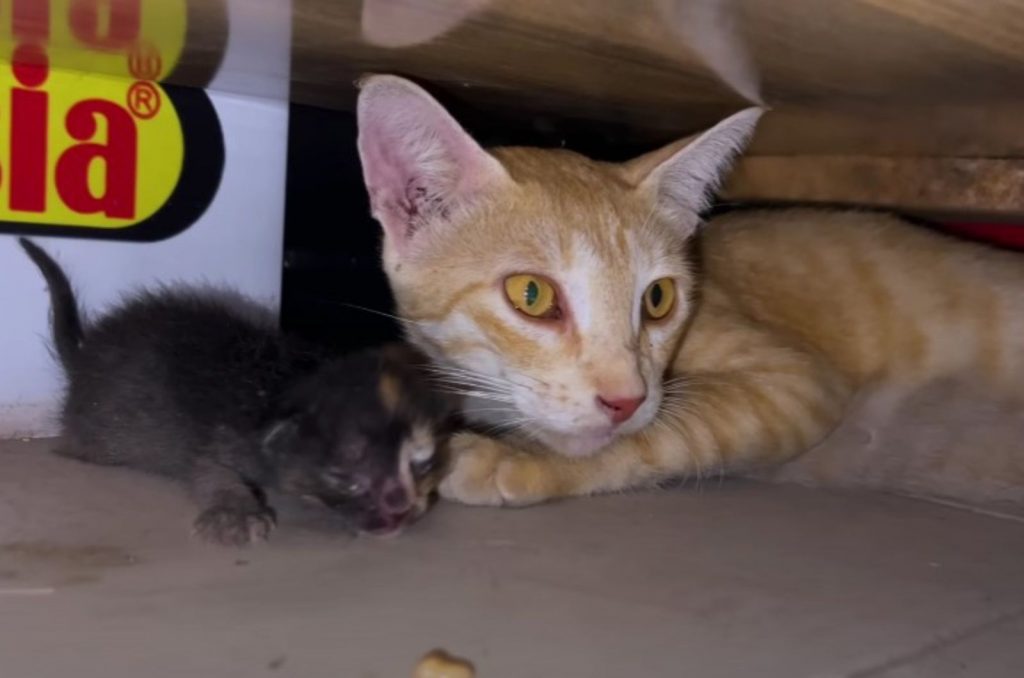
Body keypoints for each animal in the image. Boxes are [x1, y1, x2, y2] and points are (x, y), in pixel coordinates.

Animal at [18, 238, 452, 548]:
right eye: (343, 477)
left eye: (422, 462)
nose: (402, 506)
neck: (283, 380)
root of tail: (84, 354)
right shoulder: (222, 437)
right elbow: (209, 469)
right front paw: (234, 514)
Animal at [354, 76, 1024, 507]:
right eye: (532, 295)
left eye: (657, 300)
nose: (623, 399)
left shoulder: (796, 383)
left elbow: (664, 436)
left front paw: (519, 459)